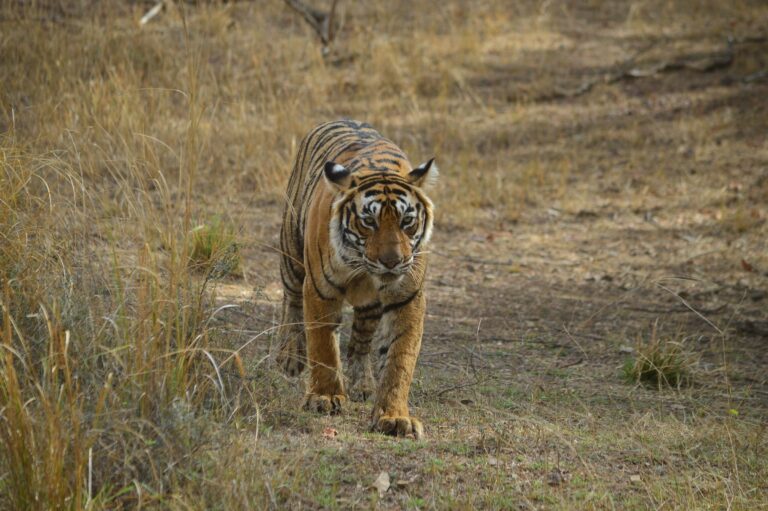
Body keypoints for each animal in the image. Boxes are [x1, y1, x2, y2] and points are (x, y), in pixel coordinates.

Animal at [275, 119, 437, 439]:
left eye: (406, 221)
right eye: (368, 222)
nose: (392, 261)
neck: (364, 269)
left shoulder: (407, 297)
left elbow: (400, 359)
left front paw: (394, 416)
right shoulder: (320, 289)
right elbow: (323, 346)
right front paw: (324, 397)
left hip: (370, 308)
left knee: (361, 342)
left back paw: (362, 384)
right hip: (292, 254)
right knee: (292, 300)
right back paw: (290, 357)